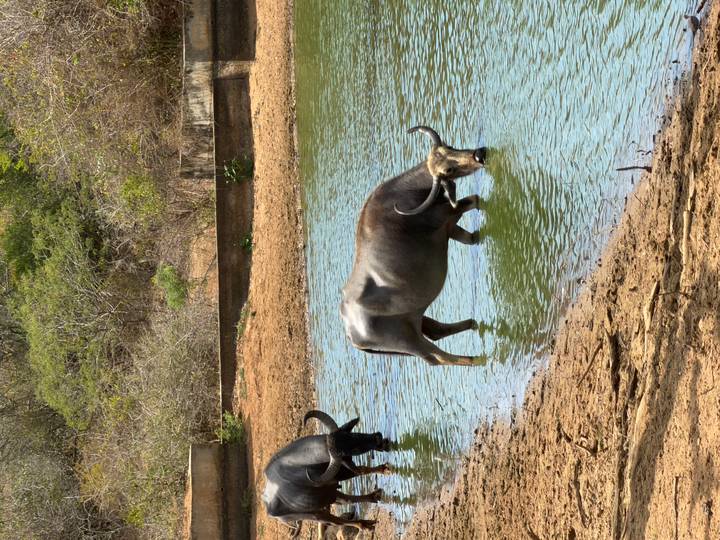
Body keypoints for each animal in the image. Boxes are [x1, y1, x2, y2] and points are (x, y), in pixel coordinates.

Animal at [262, 410, 392, 535]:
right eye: (354, 449)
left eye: (351, 434)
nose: (378, 438)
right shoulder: (339, 473)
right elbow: (361, 470)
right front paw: (384, 469)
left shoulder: (338, 473)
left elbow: (362, 469)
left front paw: (383, 468)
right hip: (315, 514)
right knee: (336, 521)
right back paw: (364, 525)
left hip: (329, 493)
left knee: (346, 499)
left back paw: (374, 496)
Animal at [341, 126, 489, 366]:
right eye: (448, 169)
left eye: (449, 147)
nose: (479, 154)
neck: (407, 193)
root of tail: (351, 333)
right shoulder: (448, 213)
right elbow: (474, 199)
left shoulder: (449, 228)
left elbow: (472, 239)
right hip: (408, 341)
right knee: (436, 357)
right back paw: (476, 359)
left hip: (413, 319)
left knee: (436, 330)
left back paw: (472, 324)